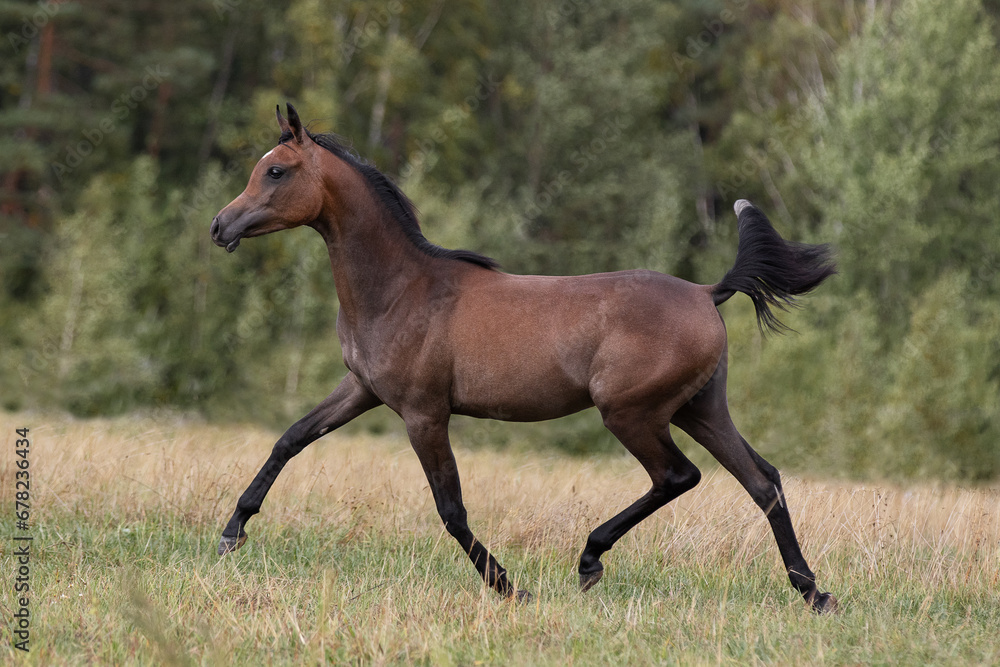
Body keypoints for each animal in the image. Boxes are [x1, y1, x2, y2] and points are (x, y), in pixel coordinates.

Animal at [210, 103, 838, 612]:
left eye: (276, 170)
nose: (220, 226)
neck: (402, 287)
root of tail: (708, 292)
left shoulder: (423, 413)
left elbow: (451, 508)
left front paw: (509, 587)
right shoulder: (362, 390)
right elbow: (290, 438)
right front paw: (231, 532)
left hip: (632, 413)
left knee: (679, 475)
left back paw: (590, 560)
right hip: (700, 409)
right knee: (763, 481)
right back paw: (813, 593)